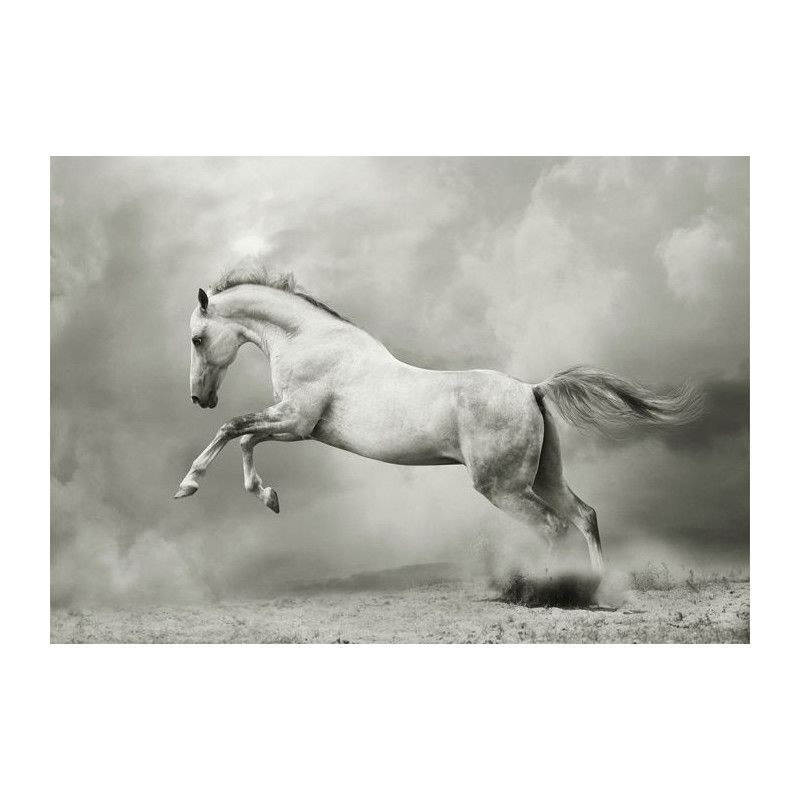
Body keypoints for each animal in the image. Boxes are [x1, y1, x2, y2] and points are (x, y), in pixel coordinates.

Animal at [174, 263, 703, 576]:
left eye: (198, 338)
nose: (199, 398)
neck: (309, 340)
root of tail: (531, 390)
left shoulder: (296, 422)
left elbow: (233, 430)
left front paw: (189, 485)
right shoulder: (292, 426)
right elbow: (244, 439)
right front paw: (270, 498)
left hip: (502, 487)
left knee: (553, 526)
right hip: (544, 476)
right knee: (584, 516)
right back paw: (595, 587)